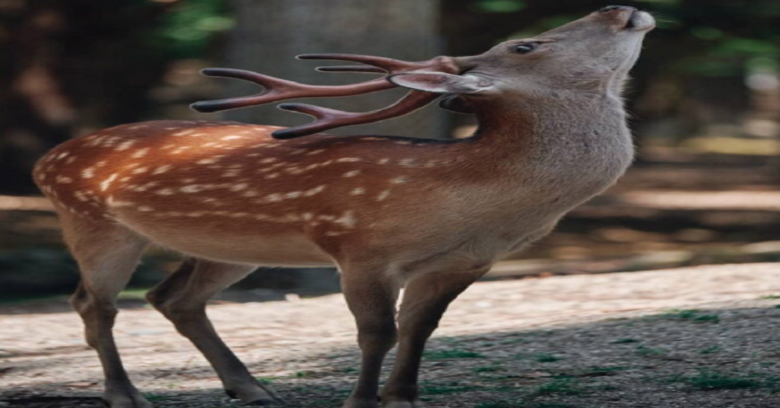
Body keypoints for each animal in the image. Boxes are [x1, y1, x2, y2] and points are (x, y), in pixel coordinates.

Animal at [33, 6, 654, 408]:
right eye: (525, 45)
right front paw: (363, 400)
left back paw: (253, 388)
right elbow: (377, 331)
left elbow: (421, 327)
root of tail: (45, 160)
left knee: (172, 298)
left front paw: (404, 397)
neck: (468, 206)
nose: (622, 7)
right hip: (93, 222)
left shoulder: (463, 263)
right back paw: (126, 394)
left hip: (231, 246)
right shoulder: (360, 248)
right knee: (94, 303)